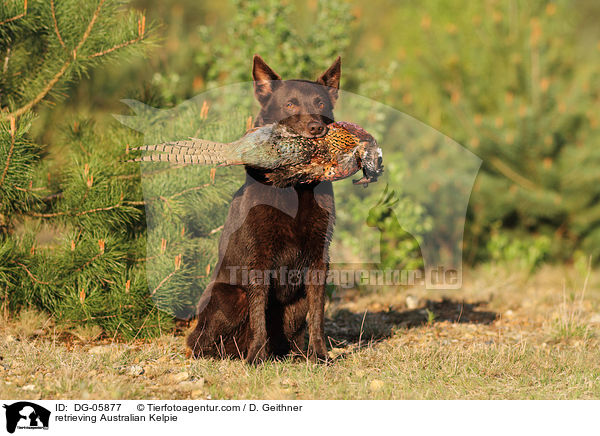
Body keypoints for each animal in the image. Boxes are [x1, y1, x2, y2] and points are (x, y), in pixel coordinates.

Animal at [185, 54, 340, 362]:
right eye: (290, 104)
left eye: (320, 104)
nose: (316, 128)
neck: (296, 188)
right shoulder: (259, 259)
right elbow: (259, 316)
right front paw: (257, 357)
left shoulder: (319, 260)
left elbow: (318, 316)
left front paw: (320, 355)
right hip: (231, 297)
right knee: (198, 342)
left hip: (295, 304)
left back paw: (294, 354)